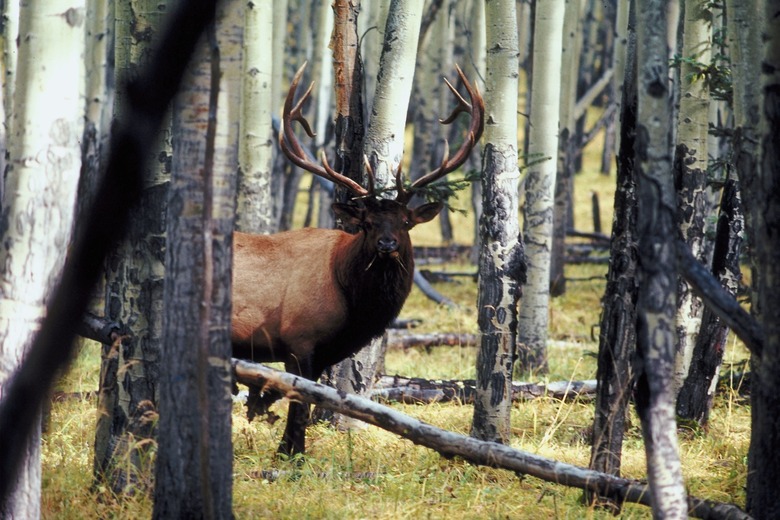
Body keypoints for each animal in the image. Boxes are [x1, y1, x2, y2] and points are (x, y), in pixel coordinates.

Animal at [230, 63, 482, 458]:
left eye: (406, 221)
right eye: (366, 223)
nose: (387, 244)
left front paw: (291, 451)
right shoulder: (299, 340)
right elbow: (299, 404)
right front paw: (290, 455)